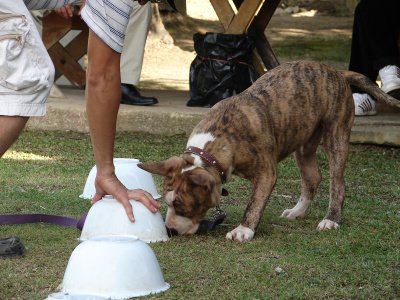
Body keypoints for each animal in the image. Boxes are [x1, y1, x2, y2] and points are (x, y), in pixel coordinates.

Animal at [138, 60, 400, 241]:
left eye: (181, 205)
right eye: (168, 202)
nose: (170, 230)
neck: (213, 145)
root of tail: (336, 72)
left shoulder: (266, 173)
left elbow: (254, 203)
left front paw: (244, 229)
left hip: (336, 136)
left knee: (337, 182)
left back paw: (331, 219)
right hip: (303, 143)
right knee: (313, 177)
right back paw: (297, 211)